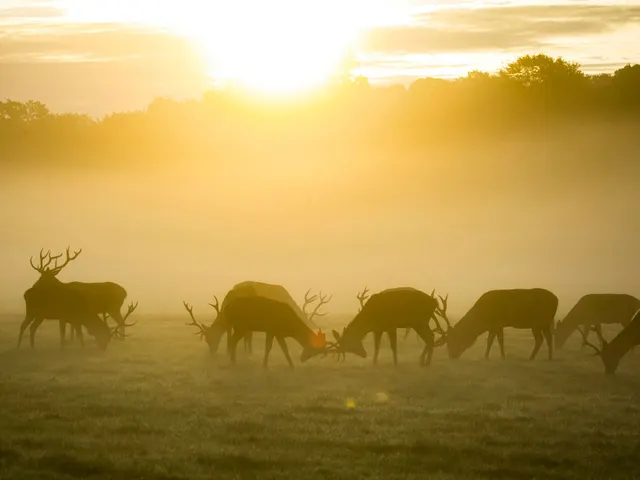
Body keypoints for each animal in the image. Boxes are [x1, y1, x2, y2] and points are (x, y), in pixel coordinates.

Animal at [185, 296, 330, 368]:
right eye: (314, 348)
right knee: (232, 341)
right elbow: (271, 347)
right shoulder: (272, 329)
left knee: (232, 341)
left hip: (239, 326)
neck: (289, 325)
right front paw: (266, 365)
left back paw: (233, 360)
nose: (302, 358)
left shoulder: (277, 332)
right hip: (241, 325)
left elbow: (283, 348)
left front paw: (290, 364)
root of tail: (227, 308)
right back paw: (234, 362)